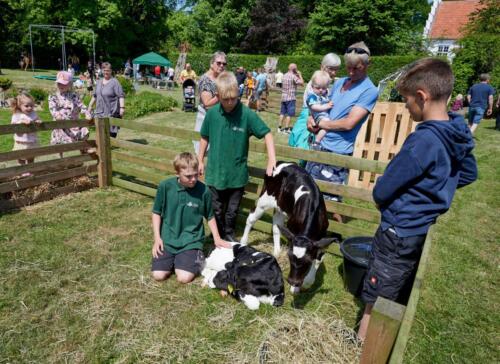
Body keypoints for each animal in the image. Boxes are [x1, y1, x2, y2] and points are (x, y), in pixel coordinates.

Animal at [239, 164, 340, 294]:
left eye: (307, 262)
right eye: (289, 258)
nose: (292, 281)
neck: (313, 207)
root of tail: (282, 163)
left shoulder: (321, 238)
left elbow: (318, 259)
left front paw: (307, 282)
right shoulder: (293, 233)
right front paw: (295, 288)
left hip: (280, 207)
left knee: (276, 226)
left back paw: (276, 252)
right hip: (264, 201)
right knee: (251, 219)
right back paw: (243, 242)